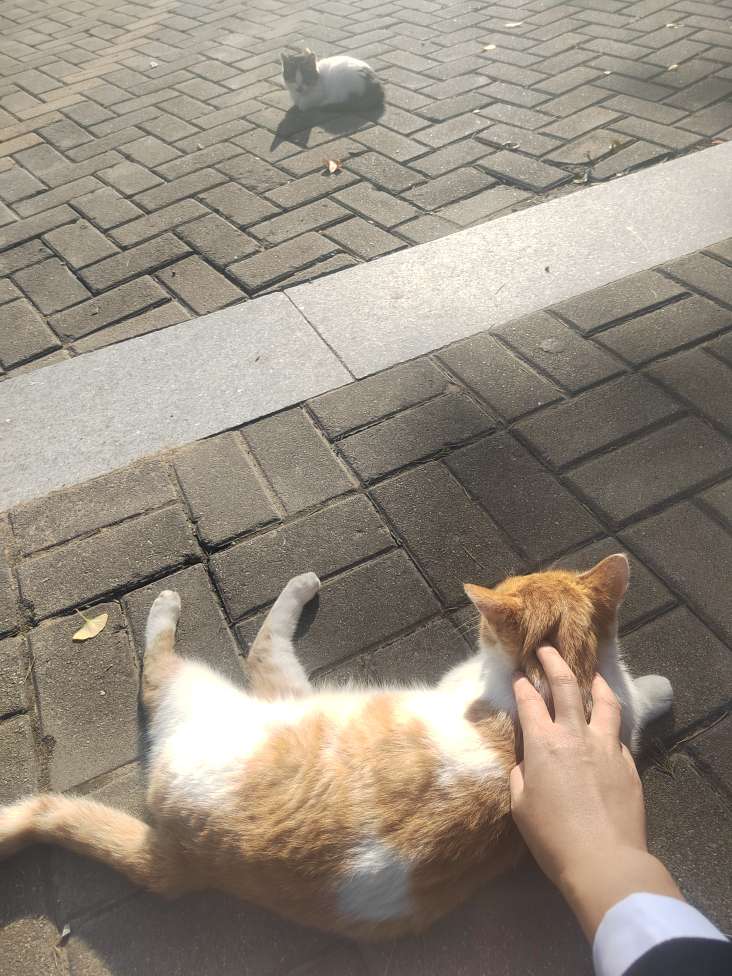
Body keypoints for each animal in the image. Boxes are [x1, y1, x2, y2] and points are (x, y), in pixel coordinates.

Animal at [0, 554, 672, 940]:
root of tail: (184, 857)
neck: (564, 678)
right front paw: (660, 688)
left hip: (235, 691)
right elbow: (639, 696)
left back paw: (180, 601)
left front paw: (655, 688)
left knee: (218, 655)